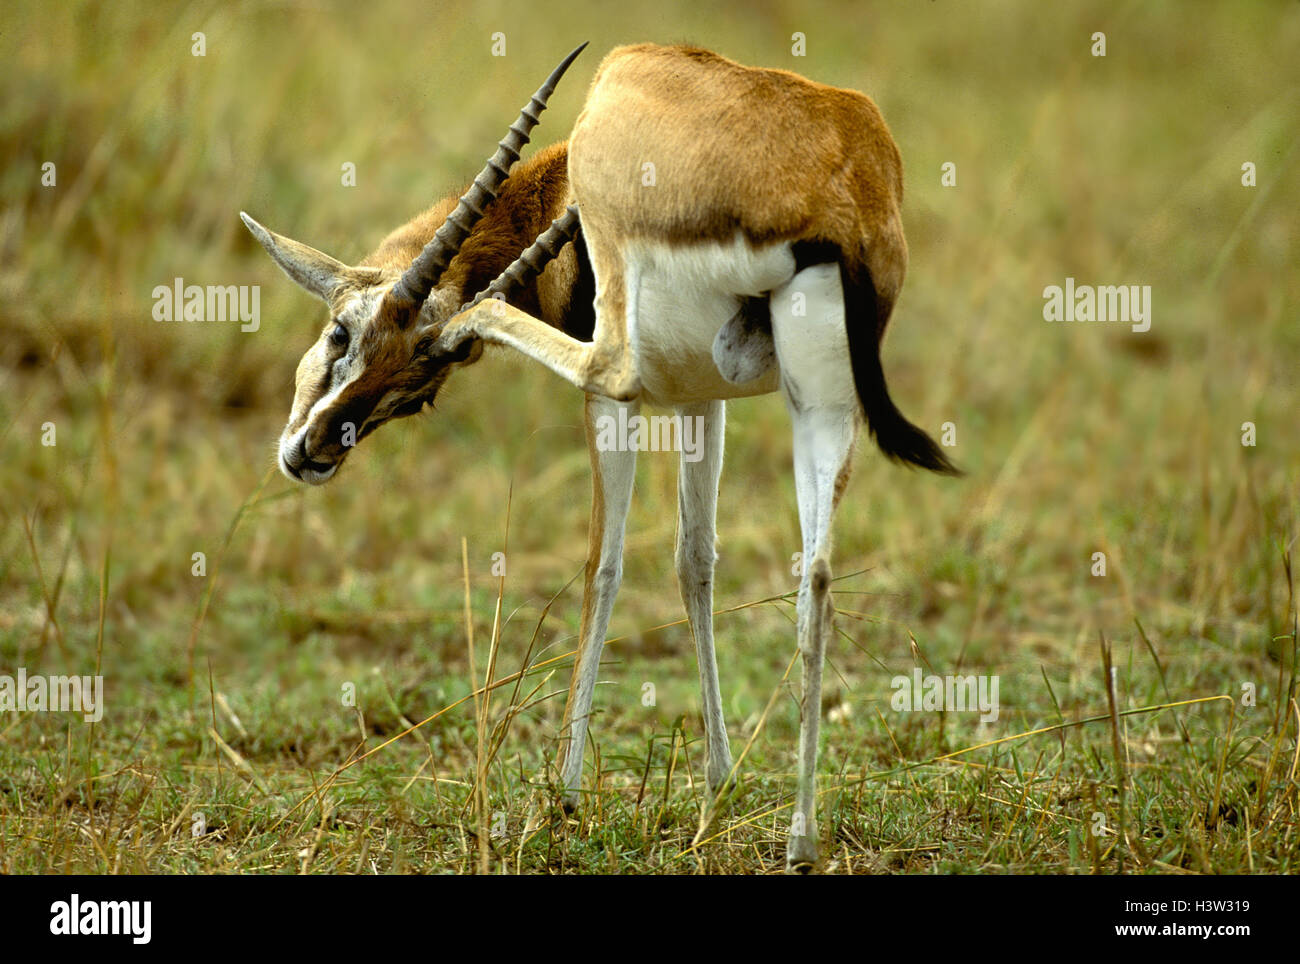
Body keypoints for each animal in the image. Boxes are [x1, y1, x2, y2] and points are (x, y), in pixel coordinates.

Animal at [242, 42, 959, 873]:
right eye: (415, 397)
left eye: (341, 333)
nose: (311, 452)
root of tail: (840, 196)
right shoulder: (701, 398)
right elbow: (694, 562)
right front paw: (715, 793)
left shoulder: (623, 404)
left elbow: (602, 567)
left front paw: (566, 796)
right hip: (821, 406)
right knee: (816, 577)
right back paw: (801, 840)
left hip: (636, 359)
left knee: (604, 376)